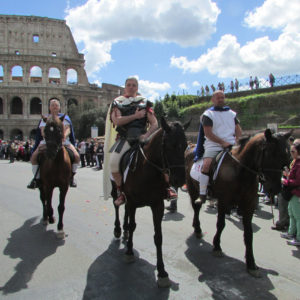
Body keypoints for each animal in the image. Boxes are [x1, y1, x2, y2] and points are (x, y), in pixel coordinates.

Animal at [111, 117, 189, 288]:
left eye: (186, 146)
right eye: (170, 145)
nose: (180, 180)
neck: (147, 170)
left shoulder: (157, 205)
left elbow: (158, 237)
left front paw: (162, 272)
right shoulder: (133, 202)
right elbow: (133, 225)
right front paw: (129, 252)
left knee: (125, 212)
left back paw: (124, 231)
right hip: (116, 190)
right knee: (117, 205)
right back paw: (119, 229)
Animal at [185, 128, 290, 276]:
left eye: (286, 158)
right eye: (271, 155)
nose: (275, 189)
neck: (241, 171)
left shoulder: (249, 205)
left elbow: (249, 233)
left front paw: (251, 263)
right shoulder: (223, 201)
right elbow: (221, 224)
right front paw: (217, 246)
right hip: (193, 188)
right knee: (196, 208)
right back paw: (198, 229)